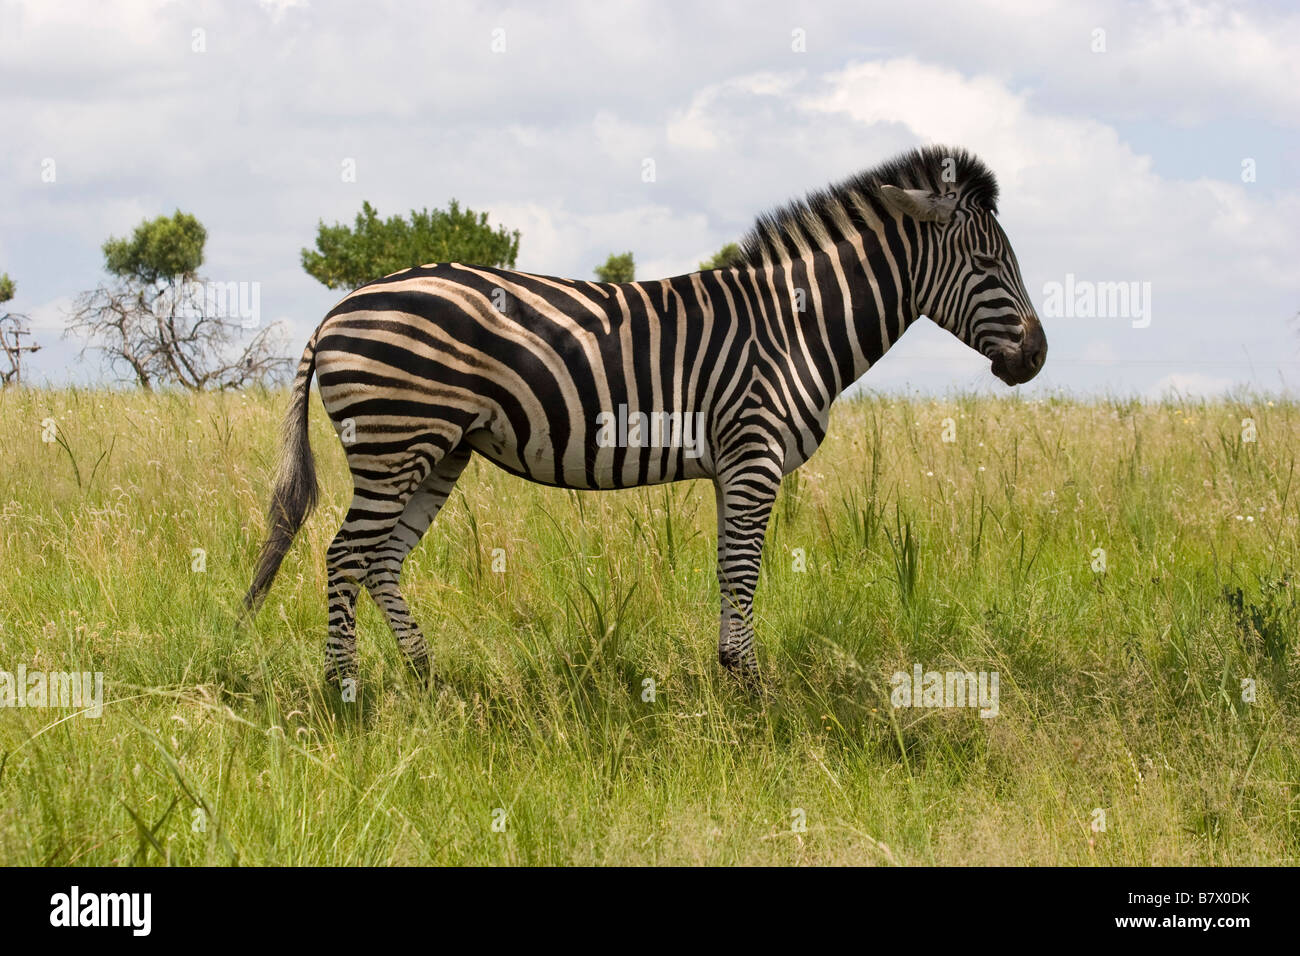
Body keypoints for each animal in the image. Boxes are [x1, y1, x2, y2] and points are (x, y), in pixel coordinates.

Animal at [243, 145, 1046, 685]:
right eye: (987, 266)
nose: (1036, 357)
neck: (793, 326)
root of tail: (340, 308)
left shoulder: (733, 466)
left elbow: (728, 572)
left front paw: (732, 680)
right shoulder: (753, 454)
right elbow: (742, 572)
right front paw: (754, 698)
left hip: (439, 448)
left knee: (381, 560)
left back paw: (428, 680)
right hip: (395, 440)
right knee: (345, 556)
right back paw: (346, 694)